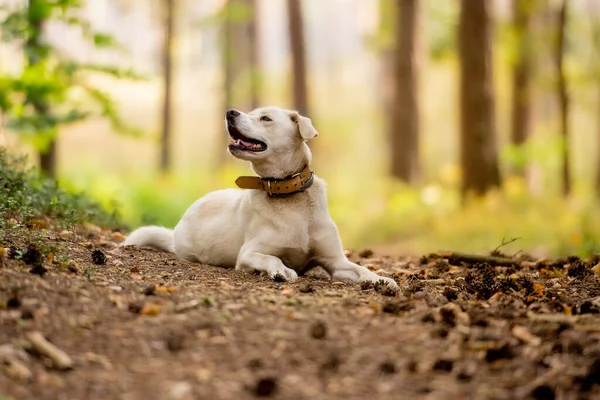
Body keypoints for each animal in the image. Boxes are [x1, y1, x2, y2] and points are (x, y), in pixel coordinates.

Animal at [123, 106, 398, 288]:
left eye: (265, 118)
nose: (230, 112)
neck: (290, 196)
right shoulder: (248, 253)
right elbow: (271, 257)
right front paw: (281, 270)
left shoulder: (336, 261)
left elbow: (360, 268)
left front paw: (382, 279)